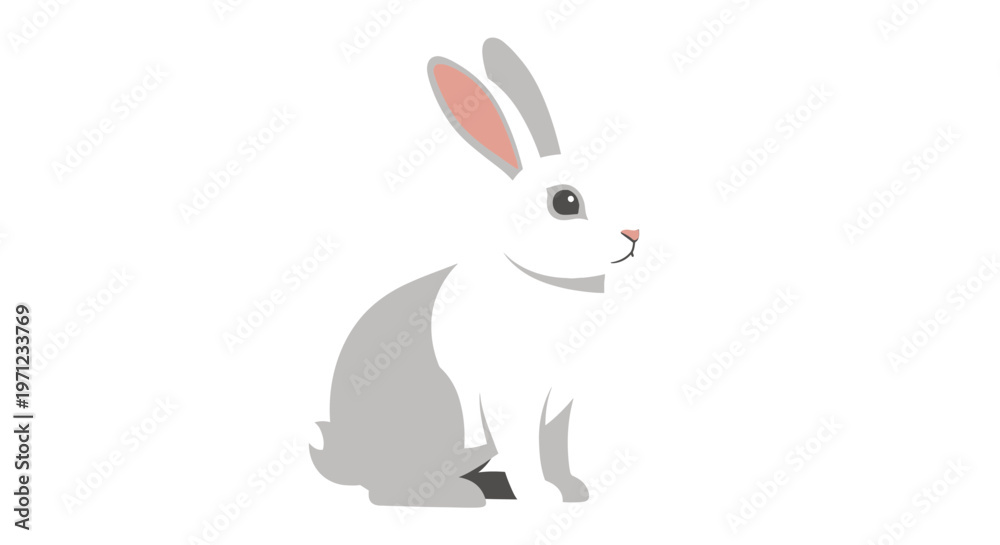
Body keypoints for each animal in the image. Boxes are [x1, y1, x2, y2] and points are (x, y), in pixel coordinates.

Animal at [311, 38, 640, 507]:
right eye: (566, 202)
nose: (633, 233)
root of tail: (347, 461)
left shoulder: (560, 404)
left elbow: (555, 446)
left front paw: (572, 491)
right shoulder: (510, 398)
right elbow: (524, 447)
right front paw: (536, 496)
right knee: (389, 490)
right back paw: (465, 496)